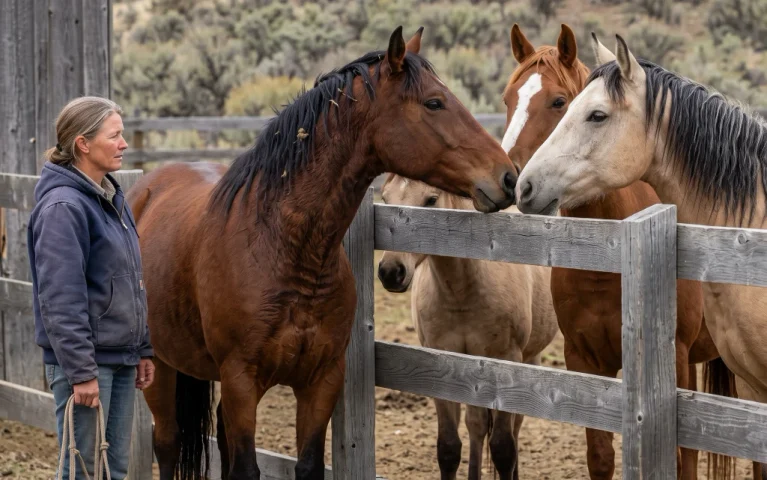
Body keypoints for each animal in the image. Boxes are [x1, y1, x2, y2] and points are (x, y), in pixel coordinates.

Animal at [126, 26, 518, 480]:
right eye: (434, 102)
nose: (508, 177)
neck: (282, 248)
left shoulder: (322, 380)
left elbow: (307, 464)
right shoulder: (242, 380)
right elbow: (246, 468)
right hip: (160, 369)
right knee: (167, 444)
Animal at [377, 174, 558, 480]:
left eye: (431, 200)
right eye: (385, 199)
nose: (391, 271)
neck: (461, 292)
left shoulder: (506, 362)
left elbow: (503, 449)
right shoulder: (440, 363)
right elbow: (449, 448)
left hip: (528, 359)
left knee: (515, 425)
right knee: (476, 424)